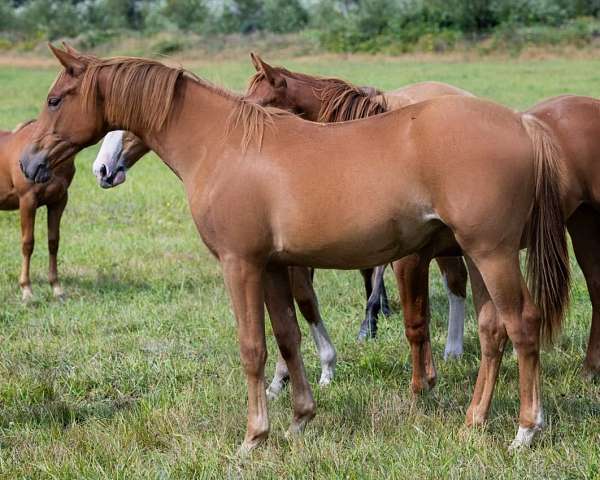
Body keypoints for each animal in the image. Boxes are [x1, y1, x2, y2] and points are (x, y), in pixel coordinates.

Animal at [0, 119, 75, 300]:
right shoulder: (27, 200)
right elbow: (28, 243)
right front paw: (26, 290)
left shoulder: (59, 201)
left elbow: (53, 242)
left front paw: (57, 288)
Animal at [22, 44, 568, 450]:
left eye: (55, 100)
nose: (29, 163)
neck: (225, 145)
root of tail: (521, 123)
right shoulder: (272, 266)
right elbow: (287, 336)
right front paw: (301, 418)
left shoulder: (240, 264)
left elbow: (253, 347)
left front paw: (254, 437)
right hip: (476, 255)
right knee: (492, 329)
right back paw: (474, 420)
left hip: (493, 253)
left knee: (523, 325)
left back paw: (525, 430)